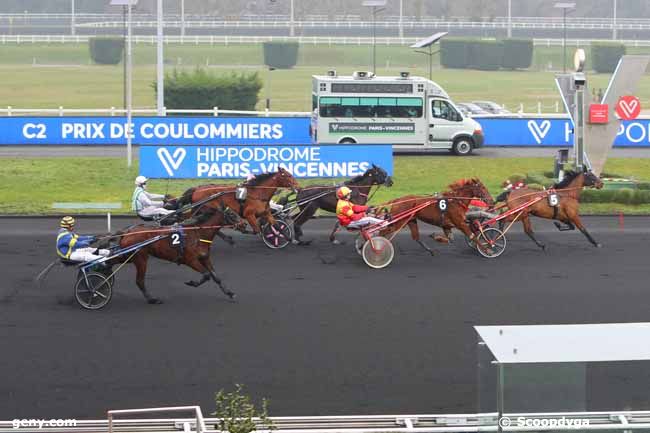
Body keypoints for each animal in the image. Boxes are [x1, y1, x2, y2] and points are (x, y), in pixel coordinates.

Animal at [109, 205, 246, 304]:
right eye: (232, 214)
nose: (244, 224)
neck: (197, 234)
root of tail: (127, 232)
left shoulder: (205, 258)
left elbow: (216, 277)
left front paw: (229, 293)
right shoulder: (190, 260)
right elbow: (206, 275)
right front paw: (192, 282)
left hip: (128, 256)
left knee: (112, 262)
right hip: (140, 258)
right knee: (140, 281)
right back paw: (152, 299)